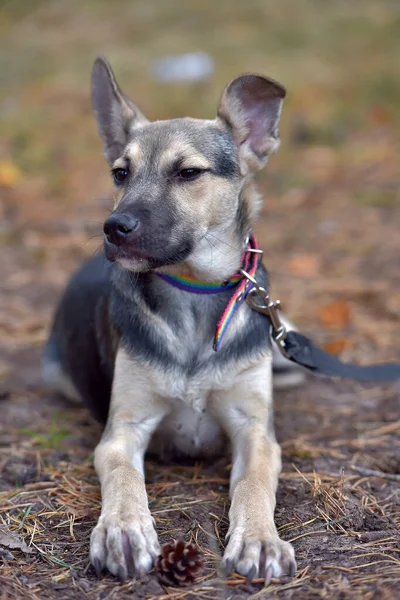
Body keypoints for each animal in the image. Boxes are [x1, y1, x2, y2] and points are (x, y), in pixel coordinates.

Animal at [41, 56, 304, 580]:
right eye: (120, 173)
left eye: (187, 172)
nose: (113, 228)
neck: (194, 296)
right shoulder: (123, 428)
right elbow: (123, 474)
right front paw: (123, 530)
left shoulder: (254, 428)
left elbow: (255, 482)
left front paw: (260, 539)